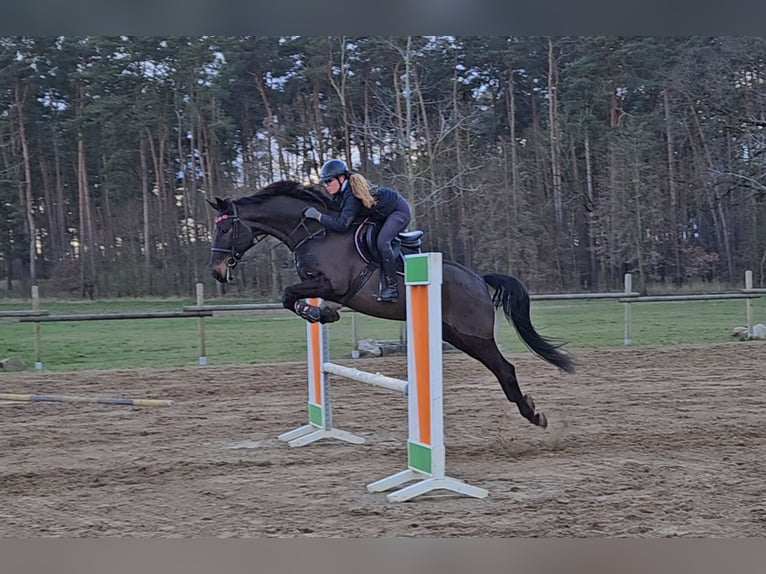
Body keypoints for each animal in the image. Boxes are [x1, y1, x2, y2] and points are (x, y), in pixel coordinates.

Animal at [208, 180, 576, 428]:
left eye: (225, 229)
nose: (216, 271)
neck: (315, 231)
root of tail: (479, 280)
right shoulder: (321, 285)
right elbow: (291, 297)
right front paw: (322, 314)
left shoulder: (333, 284)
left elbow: (288, 294)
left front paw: (319, 313)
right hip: (457, 336)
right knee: (500, 368)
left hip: (475, 336)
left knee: (505, 369)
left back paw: (533, 415)